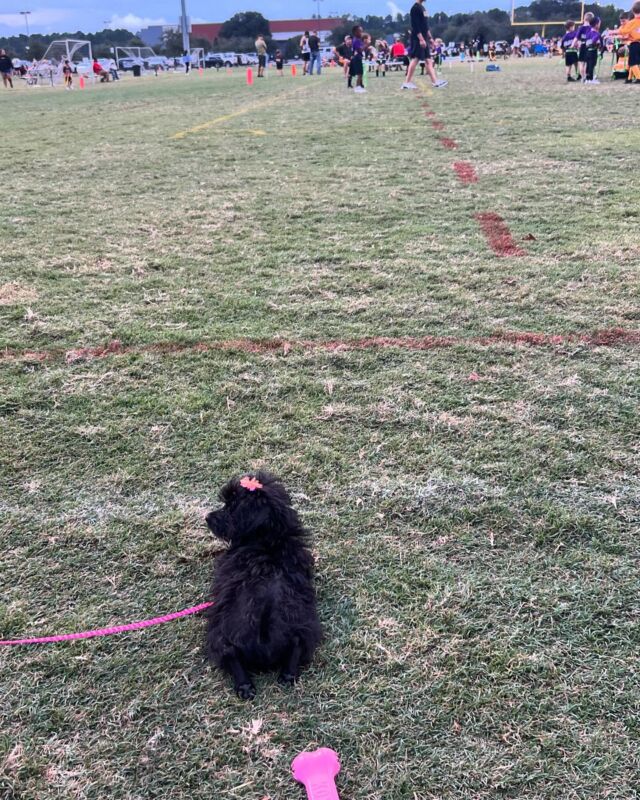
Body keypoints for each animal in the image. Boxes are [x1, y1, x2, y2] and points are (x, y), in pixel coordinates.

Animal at [205, 472, 322, 696]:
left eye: (231, 508)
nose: (208, 517)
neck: (269, 541)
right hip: (303, 627)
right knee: (297, 643)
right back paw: (287, 676)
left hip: (219, 633)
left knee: (229, 652)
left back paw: (244, 687)